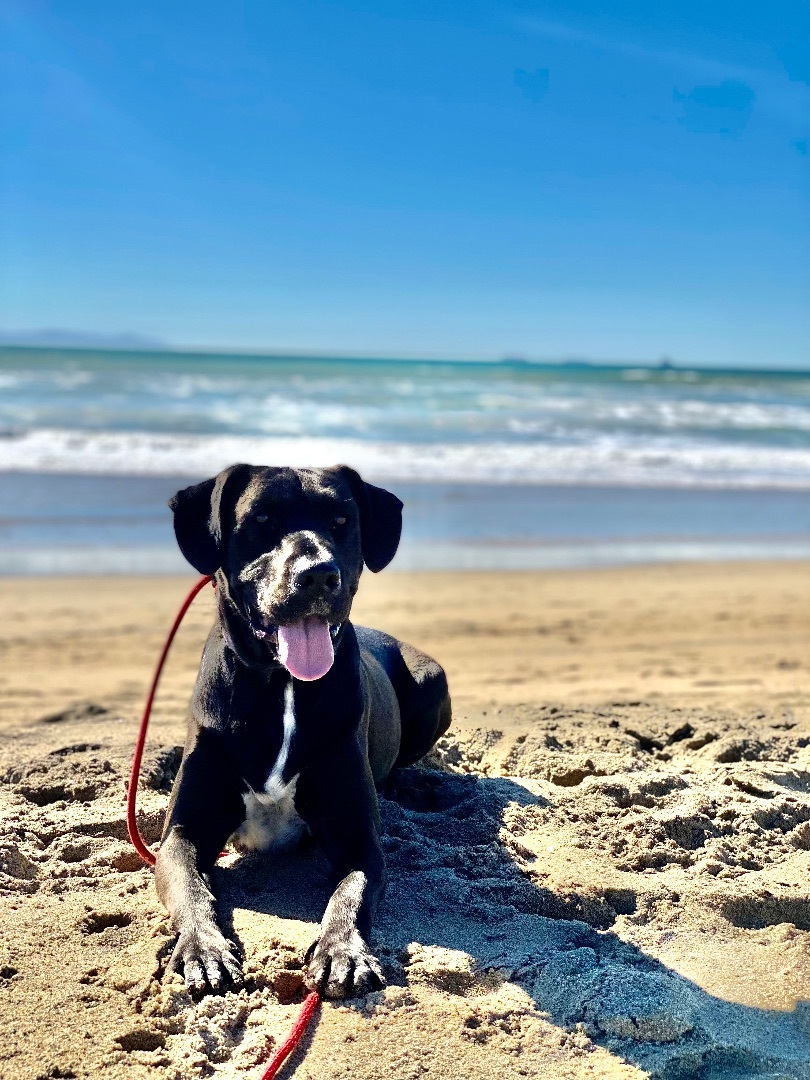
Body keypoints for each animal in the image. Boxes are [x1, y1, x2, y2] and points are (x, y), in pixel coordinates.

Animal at [157, 468, 451, 997]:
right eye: (260, 519)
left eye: (342, 520)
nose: (317, 574)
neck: (284, 684)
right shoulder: (183, 831)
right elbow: (190, 887)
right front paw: (204, 949)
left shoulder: (357, 836)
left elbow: (351, 891)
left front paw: (343, 951)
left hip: (433, 683)